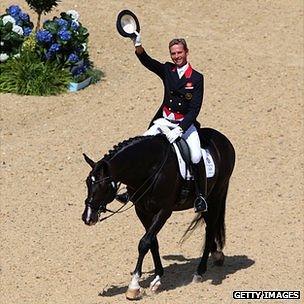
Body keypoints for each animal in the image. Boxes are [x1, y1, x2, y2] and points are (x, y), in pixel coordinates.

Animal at [82, 127, 236, 300]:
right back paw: (217, 255)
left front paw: (134, 286)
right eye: (87, 183)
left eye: (103, 186)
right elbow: (152, 242)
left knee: (210, 229)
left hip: (215, 195)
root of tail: (222, 138)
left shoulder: (164, 211)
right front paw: (157, 278)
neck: (150, 169)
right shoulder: (142, 211)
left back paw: (199, 272)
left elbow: (144, 243)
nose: (88, 217)